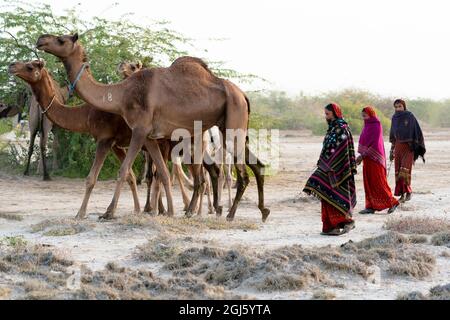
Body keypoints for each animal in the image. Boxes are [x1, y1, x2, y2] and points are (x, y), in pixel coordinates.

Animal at [37, 33, 268, 222]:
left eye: (61, 40)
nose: (40, 39)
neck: (122, 94)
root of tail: (243, 95)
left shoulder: (138, 130)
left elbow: (124, 170)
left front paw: (108, 212)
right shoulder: (149, 137)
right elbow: (161, 172)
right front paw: (165, 211)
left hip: (232, 120)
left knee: (239, 172)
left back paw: (229, 214)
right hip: (226, 126)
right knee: (255, 165)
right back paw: (261, 211)